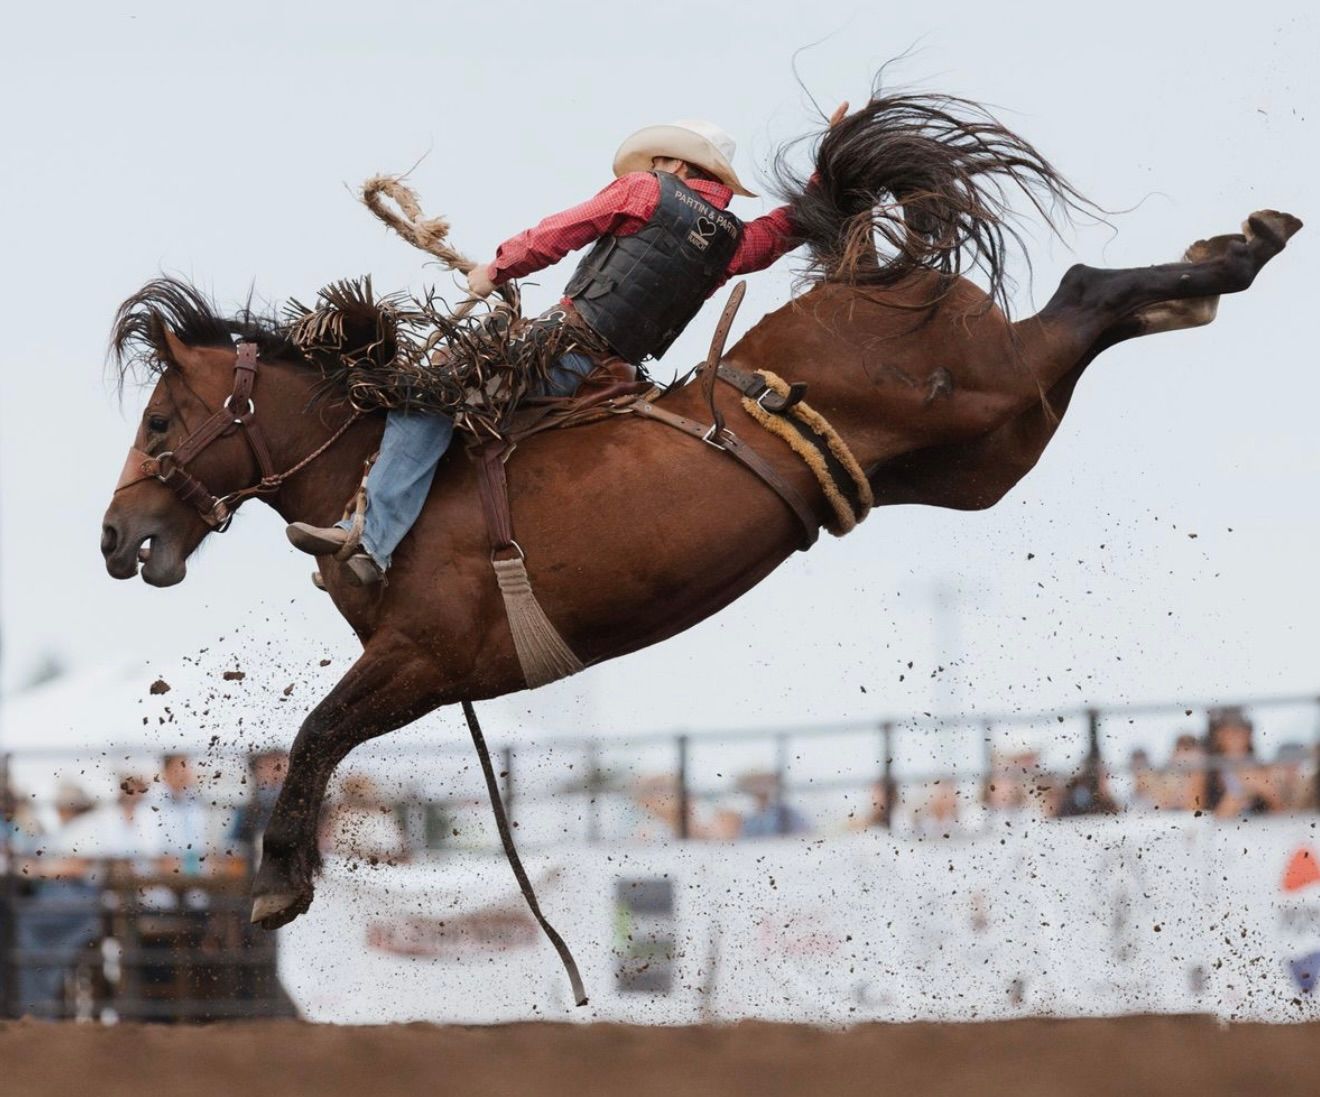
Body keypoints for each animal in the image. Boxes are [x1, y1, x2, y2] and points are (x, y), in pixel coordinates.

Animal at [100, 93, 1301, 931]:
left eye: (159, 419)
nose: (116, 538)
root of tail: (874, 272)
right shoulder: (435, 677)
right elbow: (325, 736)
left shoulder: (420, 657)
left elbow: (313, 732)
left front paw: (275, 882)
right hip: (993, 442)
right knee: (1084, 314)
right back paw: (1222, 262)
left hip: (985, 389)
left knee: (1086, 290)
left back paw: (1240, 247)